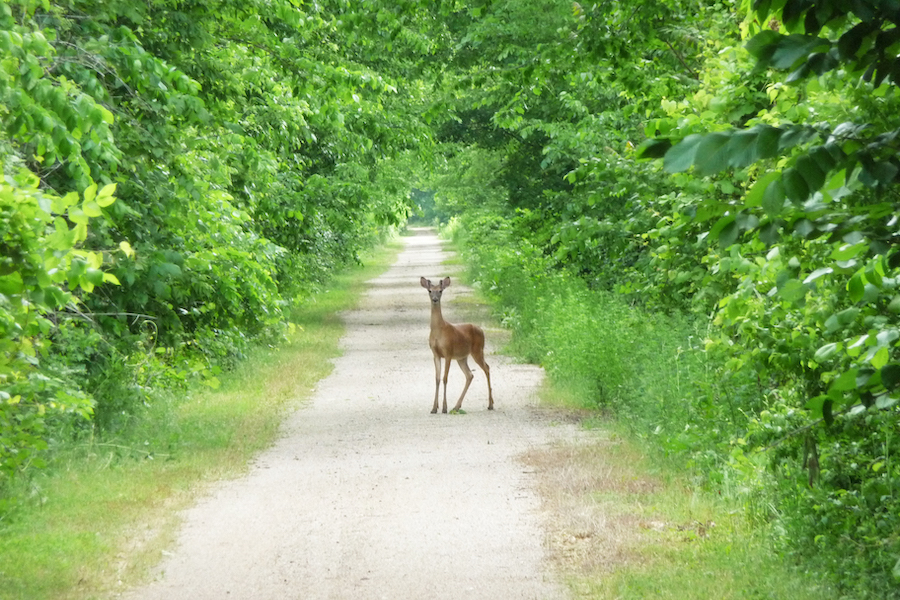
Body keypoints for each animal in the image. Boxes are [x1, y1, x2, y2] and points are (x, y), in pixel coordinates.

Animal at [420, 276, 496, 412]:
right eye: (430, 291)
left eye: (440, 291)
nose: (435, 299)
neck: (438, 330)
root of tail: (481, 330)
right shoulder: (435, 354)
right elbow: (437, 379)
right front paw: (434, 408)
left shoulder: (448, 352)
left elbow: (445, 378)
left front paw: (444, 407)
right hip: (462, 358)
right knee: (470, 375)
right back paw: (456, 406)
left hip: (478, 350)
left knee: (487, 368)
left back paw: (490, 404)